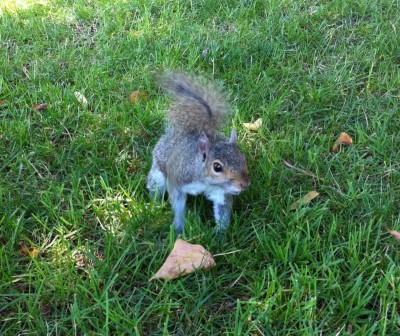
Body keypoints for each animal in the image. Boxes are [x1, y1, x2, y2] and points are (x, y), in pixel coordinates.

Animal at [145, 71, 248, 234]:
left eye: (243, 158)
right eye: (217, 167)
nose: (244, 184)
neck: (204, 181)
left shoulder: (221, 192)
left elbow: (223, 211)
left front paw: (219, 234)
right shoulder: (177, 179)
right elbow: (178, 205)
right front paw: (179, 227)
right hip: (157, 175)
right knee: (155, 188)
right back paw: (155, 205)